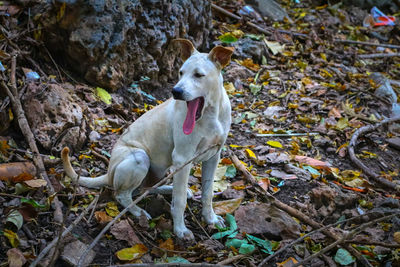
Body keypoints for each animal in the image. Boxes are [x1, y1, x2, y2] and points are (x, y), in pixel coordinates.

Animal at [61, 39, 233, 241]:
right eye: (180, 72)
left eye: (199, 75)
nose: (176, 91)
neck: (210, 113)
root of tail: (109, 171)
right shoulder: (183, 159)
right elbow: (180, 200)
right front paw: (180, 230)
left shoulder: (213, 157)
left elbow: (207, 193)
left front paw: (210, 219)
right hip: (140, 158)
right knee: (122, 195)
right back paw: (138, 211)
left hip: (159, 169)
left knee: (145, 188)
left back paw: (166, 190)